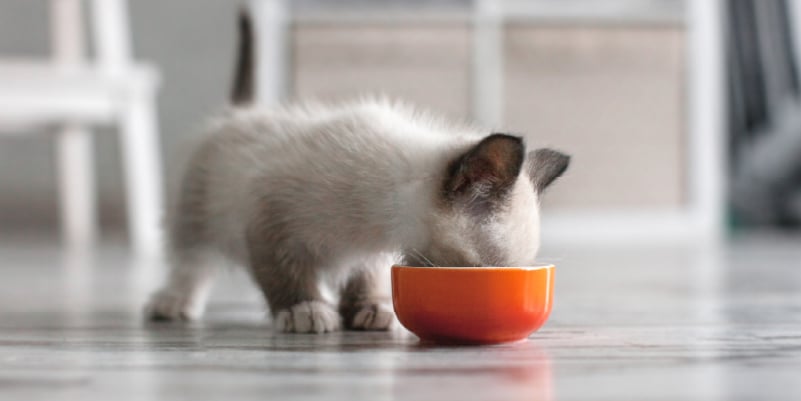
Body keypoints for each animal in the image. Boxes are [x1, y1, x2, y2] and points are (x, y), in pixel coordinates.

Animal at [145, 11, 568, 332]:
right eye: (480, 271)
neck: (374, 225)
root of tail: (242, 111)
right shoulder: (269, 219)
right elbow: (284, 272)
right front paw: (305, 310)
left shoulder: (369, 253)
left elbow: (365, 276)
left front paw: (373, 308)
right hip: (195, 212)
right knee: (191, 260)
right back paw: (173, 302)